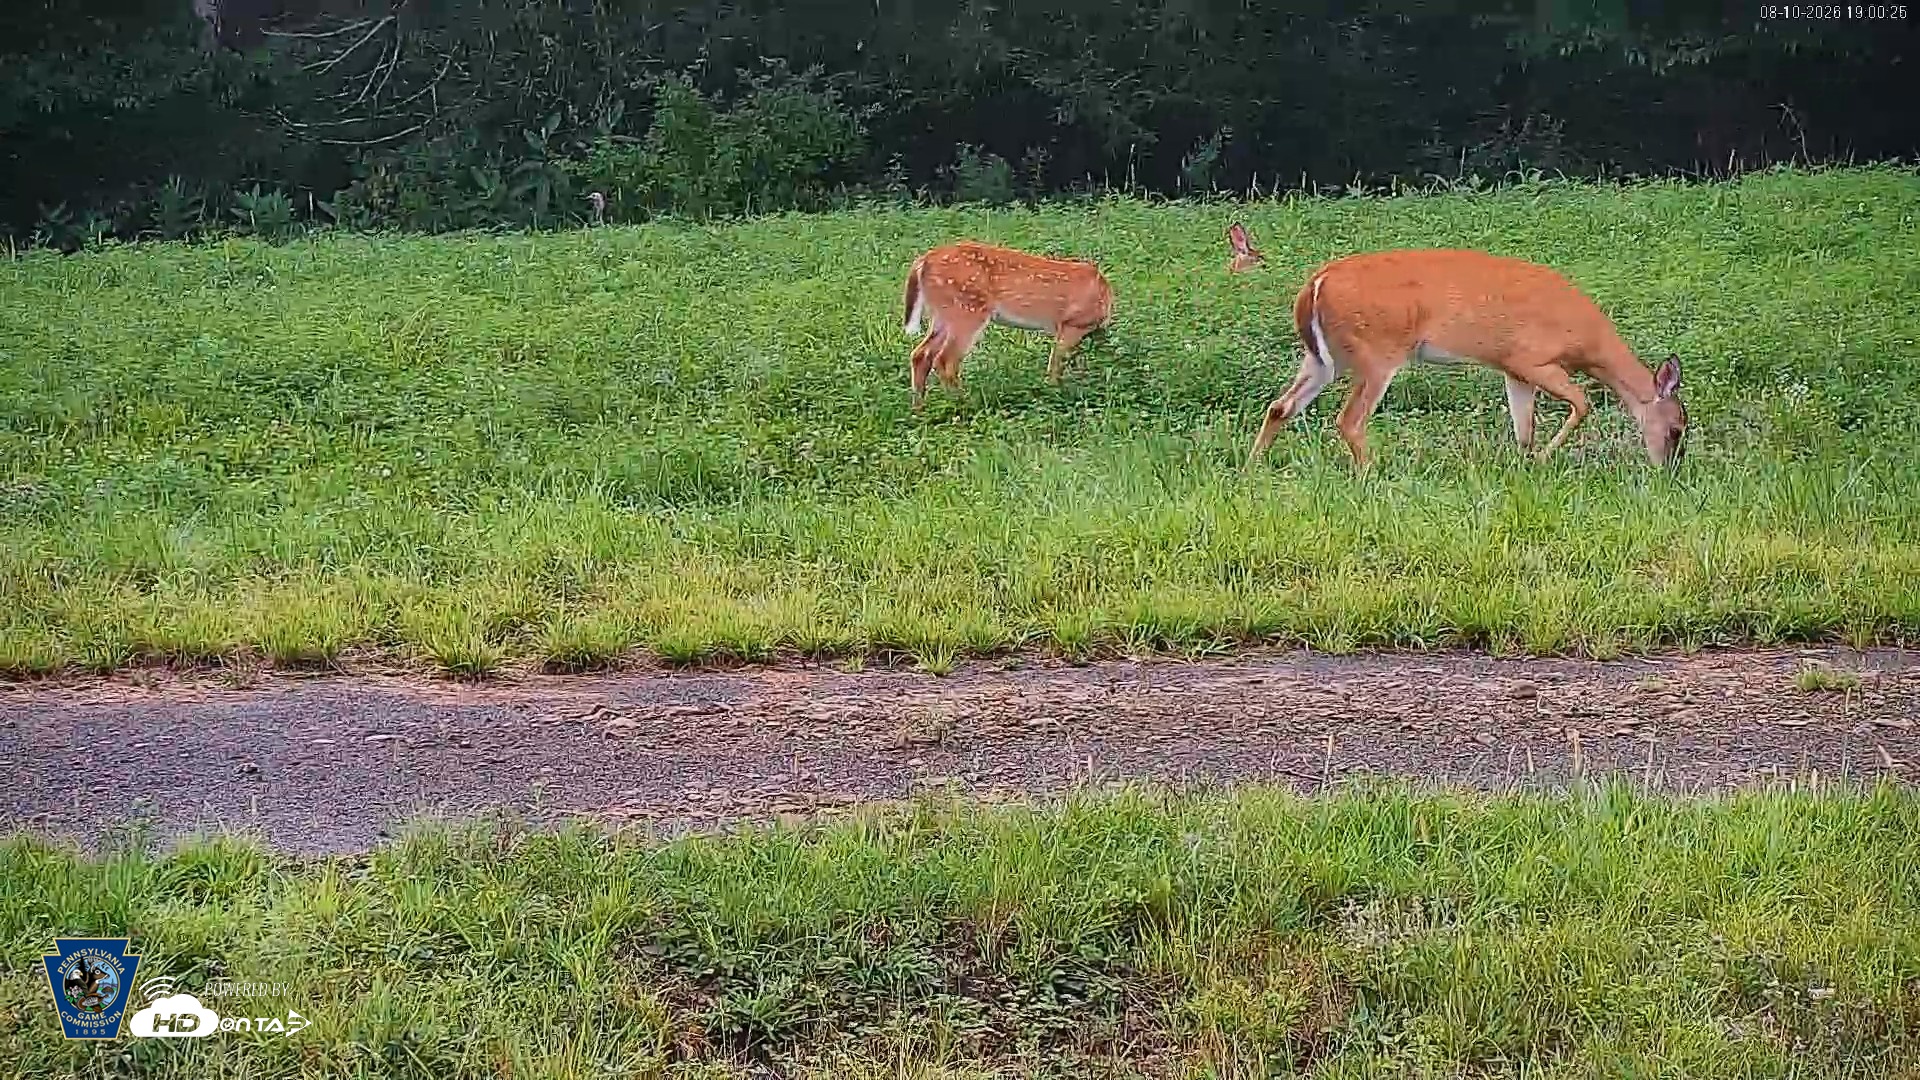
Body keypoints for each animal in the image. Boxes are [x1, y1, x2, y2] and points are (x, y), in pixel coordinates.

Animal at [901, 241, 1114, 410]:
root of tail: (923, 261)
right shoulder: (1072, 325)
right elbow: (1056, 366)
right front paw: (1054, 394)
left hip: (942, 314)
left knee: (920, 354)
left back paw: (919, 409)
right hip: (967, 309)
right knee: (945, 359)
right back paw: (963, 404)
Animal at [1224, 225, 1687, 471]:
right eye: (1677, 429)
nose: (1669, 469)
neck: (1589, 344)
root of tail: (1314, 285)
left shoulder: (1512, 370)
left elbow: (1523, 429)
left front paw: (1525, 465)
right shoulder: (1532, 359)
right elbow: (1582, 404)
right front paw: (1543, 460)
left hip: (1323, 358)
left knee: (1280, 406)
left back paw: (1250, 469)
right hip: (1377, 352)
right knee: (1349, 419)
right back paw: (1371, 474)